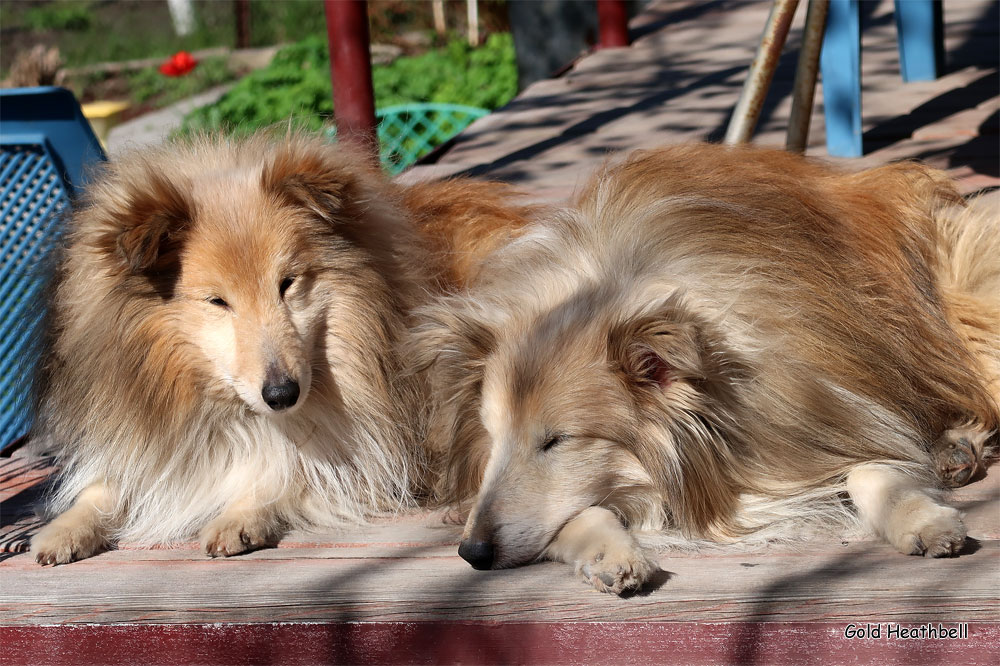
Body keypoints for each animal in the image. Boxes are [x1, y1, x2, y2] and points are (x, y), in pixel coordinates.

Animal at [29, 131, 532, 560]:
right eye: (217, 301)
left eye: (287, 283)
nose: (282, 394)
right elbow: (106, 485)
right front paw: (62, 530)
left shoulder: (360, 446)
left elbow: (287, 470)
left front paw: (239, 516)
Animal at [414, 144, 1000, 592]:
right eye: (492, 437)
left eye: (556, 441)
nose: (471, 552)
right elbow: (577, 513)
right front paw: (610, 555)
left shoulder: (835, 412)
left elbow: (875, 468)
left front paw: (923, 520)